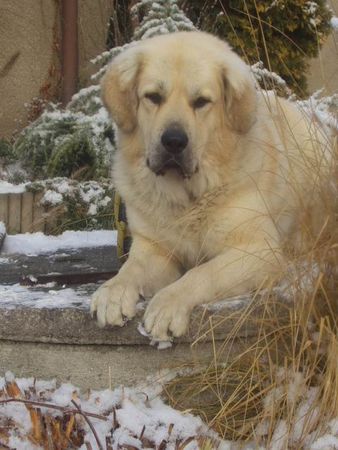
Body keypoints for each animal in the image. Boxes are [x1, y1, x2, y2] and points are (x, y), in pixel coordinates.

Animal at [90, 32, 330, 342]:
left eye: (201, 102)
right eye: (153, 97)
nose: (174, 141)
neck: (190, 197)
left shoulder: (258, 251)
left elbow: (202, 273)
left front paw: (167, 305)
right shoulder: (154, 249)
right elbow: (132, 269)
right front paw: (113, 292)